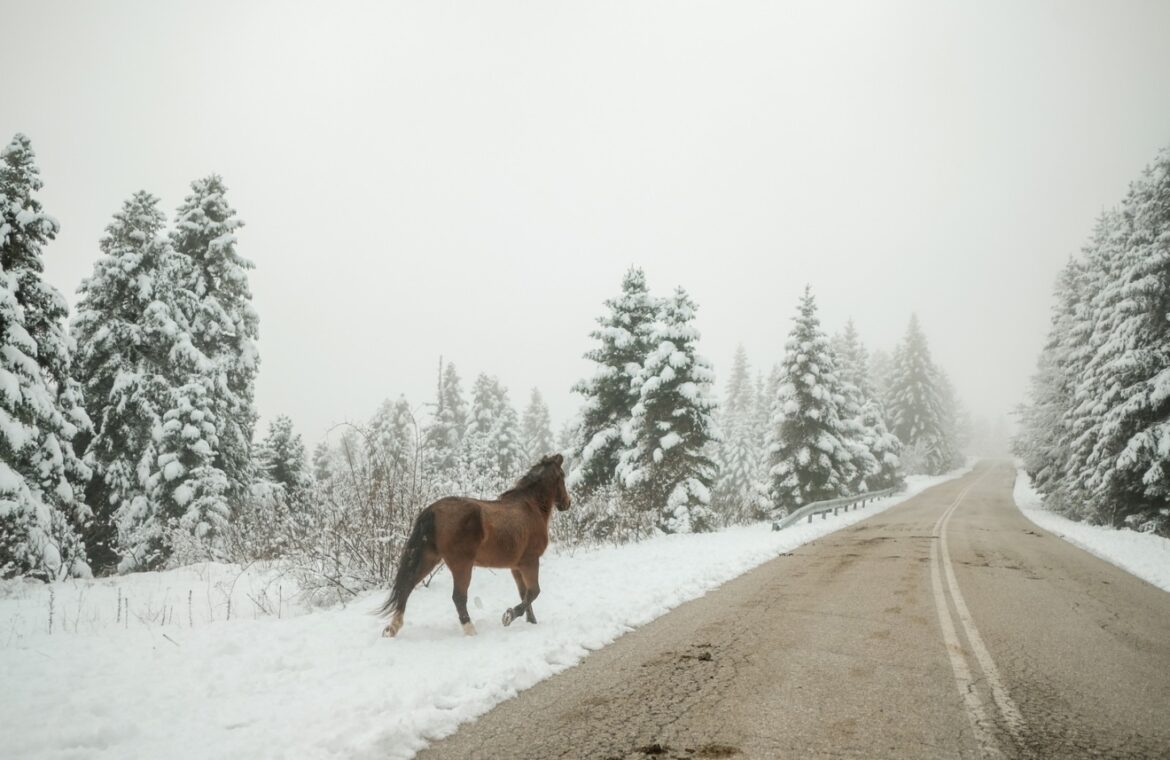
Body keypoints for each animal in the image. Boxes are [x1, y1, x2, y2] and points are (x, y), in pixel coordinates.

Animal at [380, 453, 572, 637]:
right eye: (562, 476)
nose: (567, 503)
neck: (531, 507)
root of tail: (432, 511)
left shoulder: (516, 567)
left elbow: (524, 594)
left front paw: (531, 622)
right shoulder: (530, 561)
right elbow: (534, 592)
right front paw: (509, 616)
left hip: (429, 559)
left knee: (407, 586)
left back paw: (392, 628)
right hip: (461, 565)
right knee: (458, 597)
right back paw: (470, 630)